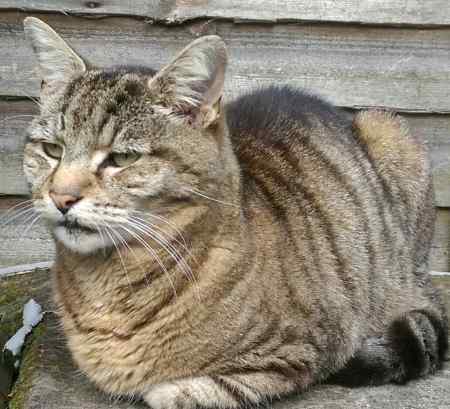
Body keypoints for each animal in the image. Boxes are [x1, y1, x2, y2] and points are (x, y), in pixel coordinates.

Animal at [22, 17, 448, 408]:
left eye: (122, 158)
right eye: (52, 149)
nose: (61, 197)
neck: (107, 284)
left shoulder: (301, 350)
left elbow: (188, 393)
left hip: (389, 130)